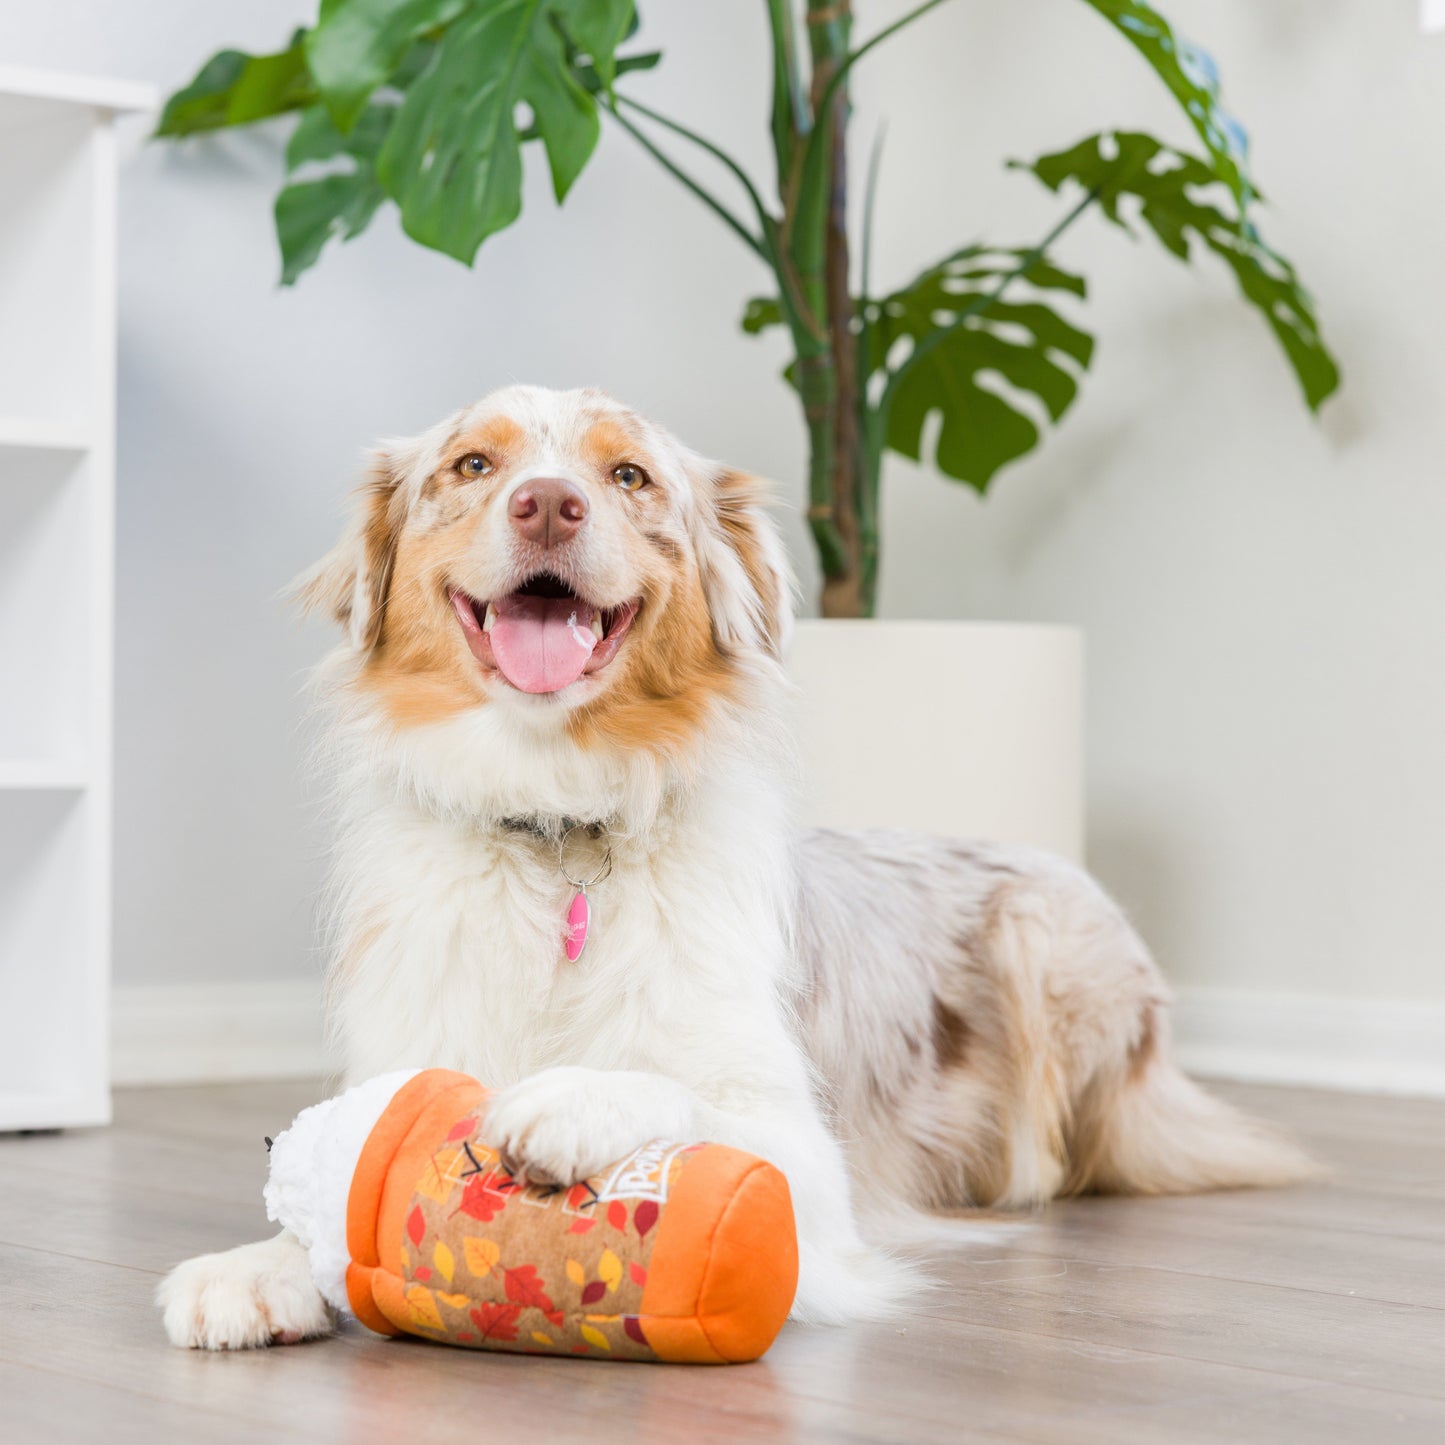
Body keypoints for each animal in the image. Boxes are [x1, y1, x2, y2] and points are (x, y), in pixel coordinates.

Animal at [158, 387, 1312, 1352]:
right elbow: (331, 1186)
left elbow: (687, 1096)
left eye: (629, 476)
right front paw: (252, 1266)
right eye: (472, 463)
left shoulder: (809, 1159)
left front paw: (573, 1098)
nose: (547, 505)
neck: (558, 824)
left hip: (1043, 931)